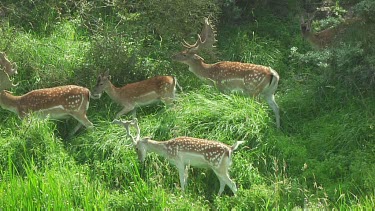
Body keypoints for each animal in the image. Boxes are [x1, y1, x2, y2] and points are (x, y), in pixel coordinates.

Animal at [113, 118, 245, 195]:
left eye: (136, 148)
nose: (140, 160)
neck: (166, 149)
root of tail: (230, 149)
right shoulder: (186, 163)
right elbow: (185, 179)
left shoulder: (179, 161)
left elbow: (182, 180)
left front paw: (182, 195)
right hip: (219, 167)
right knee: (223, 183)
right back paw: (218, 197)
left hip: (218, 166)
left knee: (232, 183)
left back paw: (235, 200)